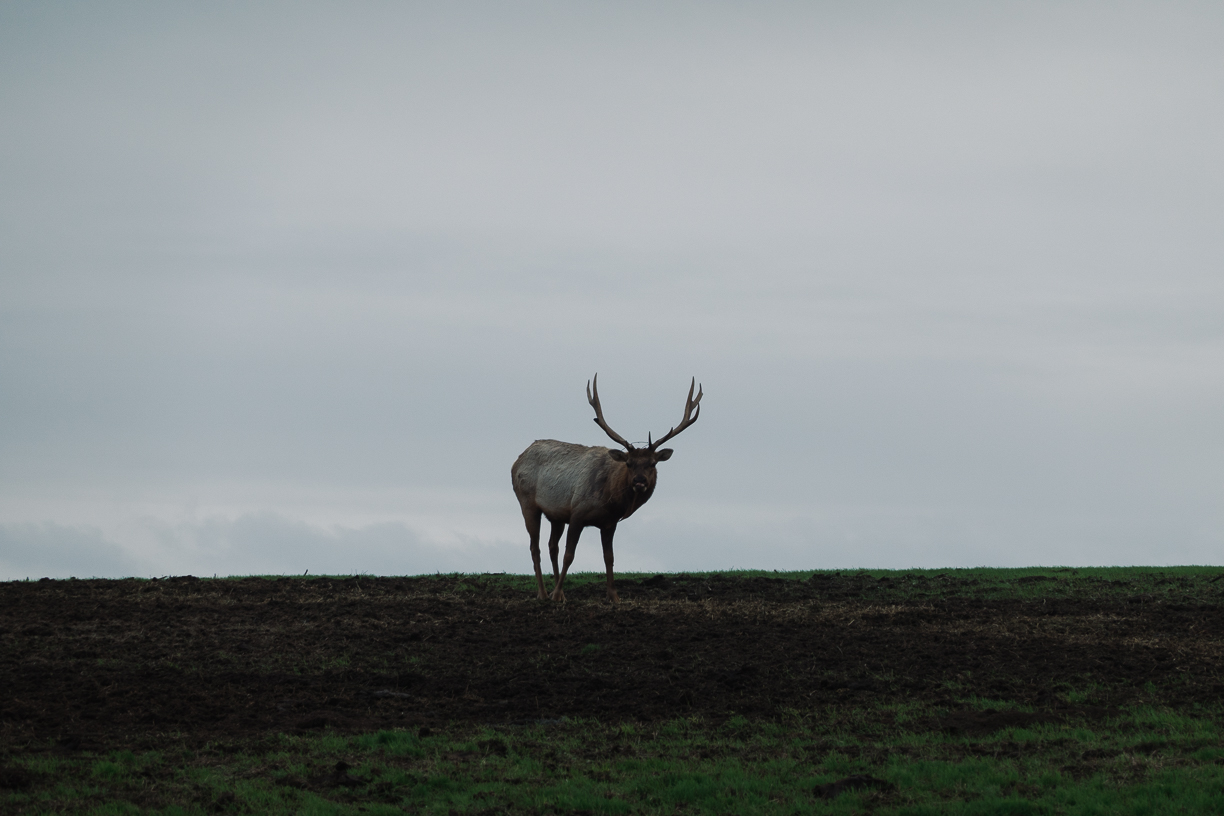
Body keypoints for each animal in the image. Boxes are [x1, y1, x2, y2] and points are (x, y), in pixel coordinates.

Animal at [509, 374, 705, 599]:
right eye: (629, 463)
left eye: (652, 463)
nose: (639, 481)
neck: (610, 500)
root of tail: (517, 461)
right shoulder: (577, 513)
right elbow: (570, 555)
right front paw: (556, 594)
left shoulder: (609, 523)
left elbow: (609, 557)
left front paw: (614, 596)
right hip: (527, 501)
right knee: (535, 548)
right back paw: (543, 594)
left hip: (555, 515)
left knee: (552, 546)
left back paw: (560, 594)